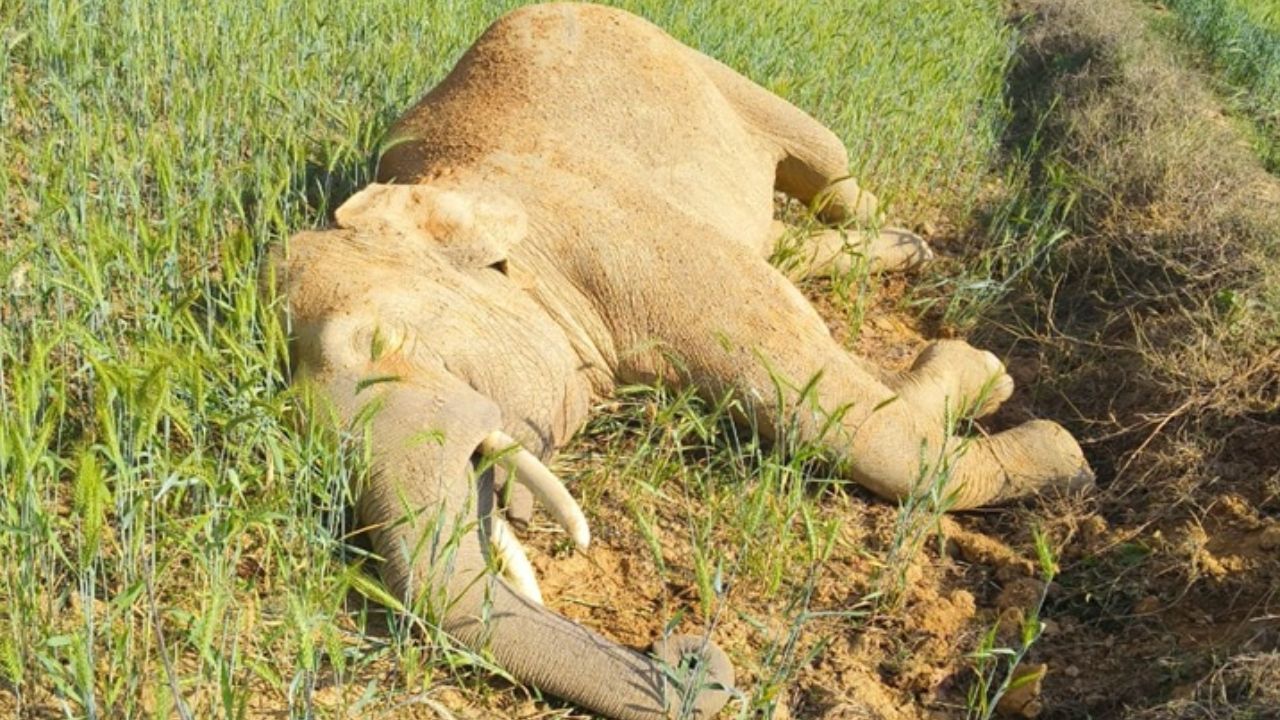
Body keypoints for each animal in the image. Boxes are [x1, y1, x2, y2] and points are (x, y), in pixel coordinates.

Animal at [266, 3, 1094, 719]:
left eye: (378, 344)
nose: (691, 656)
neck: (445, 188)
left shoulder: (632, 241)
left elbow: (816, 399)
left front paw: (1049, 443)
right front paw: (977, 386)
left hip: (709, 71)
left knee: (830, 171)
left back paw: (913, 249)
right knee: (786, 237)